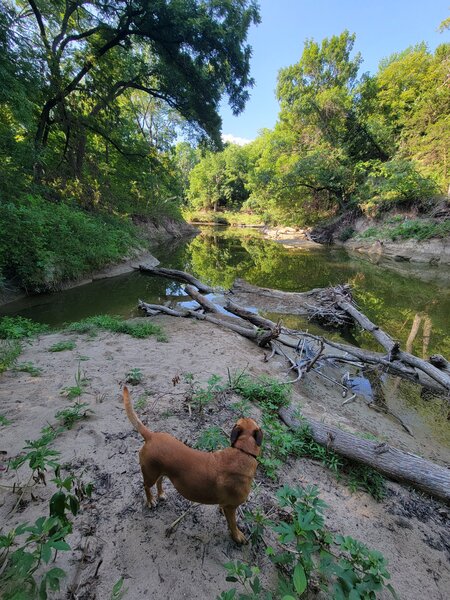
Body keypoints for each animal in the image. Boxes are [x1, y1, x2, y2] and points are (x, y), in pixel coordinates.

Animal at [123, 384, 264, 544]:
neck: (243, 451)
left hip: (161, 470)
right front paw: (237, 536)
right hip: (150, 473)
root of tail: (151, 436)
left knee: (160, 481)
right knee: (146, 486)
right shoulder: (231, 507)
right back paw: (151, 500)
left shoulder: (226, 505)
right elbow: (233, 524)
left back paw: (161, 494)